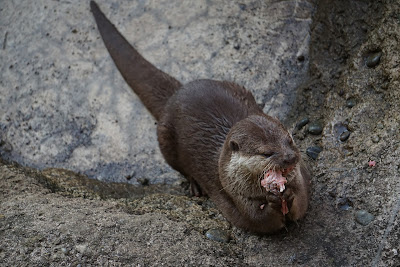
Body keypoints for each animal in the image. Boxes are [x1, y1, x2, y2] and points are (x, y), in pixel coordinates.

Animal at [90, 0, 310, 234]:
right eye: (266, 153)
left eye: (290, 141)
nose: (290, 157)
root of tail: (178, 92)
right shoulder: (233, 192)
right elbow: (259, 219)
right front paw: (273, 201)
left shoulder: (302, 180)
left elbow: (302, 203)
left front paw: (288, 195)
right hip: (165, 137)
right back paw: (194, 185)